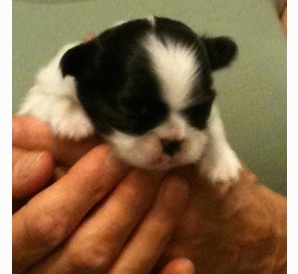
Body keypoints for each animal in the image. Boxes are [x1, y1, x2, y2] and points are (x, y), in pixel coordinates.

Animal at [18, 16, 242, 185]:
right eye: (132, 112)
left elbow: (214, 125)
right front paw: (73, 119)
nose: (171, 143)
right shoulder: (39, 96)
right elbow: (53, 99)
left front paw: (221, 160)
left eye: (200, 109)